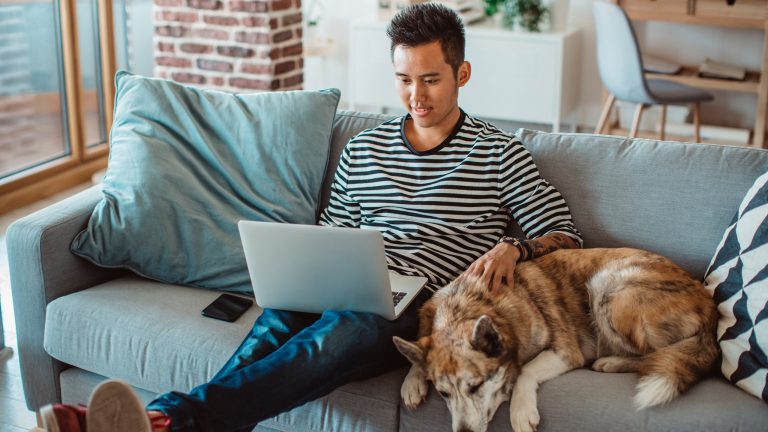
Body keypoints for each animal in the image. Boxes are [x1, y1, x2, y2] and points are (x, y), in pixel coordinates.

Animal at [392, 246, 716, 432]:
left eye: (476, 386)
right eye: (443, 394)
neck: (471, 306)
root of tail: (709, 304)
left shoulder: (565, 351)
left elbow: (525, 370)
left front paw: (521, 412)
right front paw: (412, 379)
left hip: (609, 288)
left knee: (656, 354)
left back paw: (610, 362)